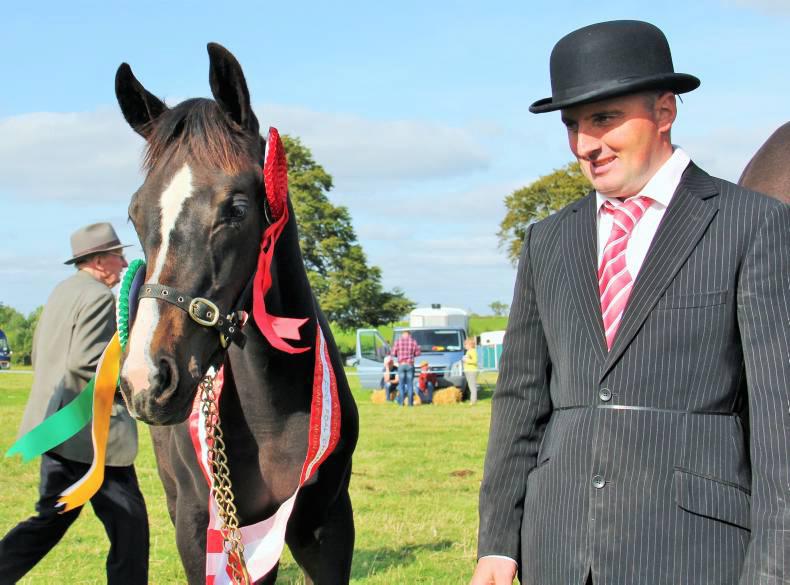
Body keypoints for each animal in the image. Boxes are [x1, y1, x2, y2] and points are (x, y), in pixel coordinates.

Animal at [114, 43, 358, 584]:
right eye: (135, 213)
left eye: (238, 208)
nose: (147, 379)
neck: (274, 415)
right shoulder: (204, 528)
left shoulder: (328, 525)